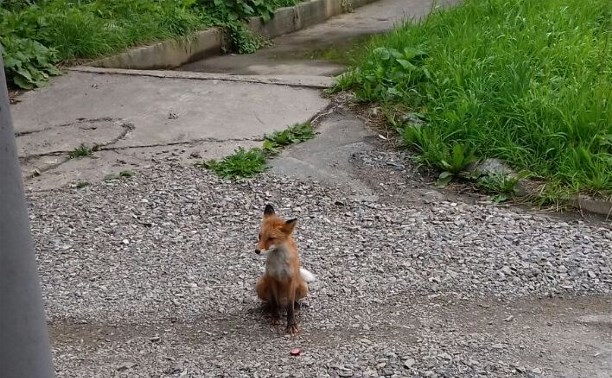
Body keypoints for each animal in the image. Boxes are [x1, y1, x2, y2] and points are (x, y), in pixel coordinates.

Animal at [256, 204, 316, 334]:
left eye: (271, 238)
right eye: (260, 236)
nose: (257, 251)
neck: (279, 262)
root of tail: (281, 301)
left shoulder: (291, 279)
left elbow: (290, 307)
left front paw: (291, 325)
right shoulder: (271, 277)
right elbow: (274, 302)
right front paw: (275, 317)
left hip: (303, 287)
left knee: (291, 302)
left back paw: (296, 306)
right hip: (260, 284)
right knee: (273, 302)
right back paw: (268, 308)